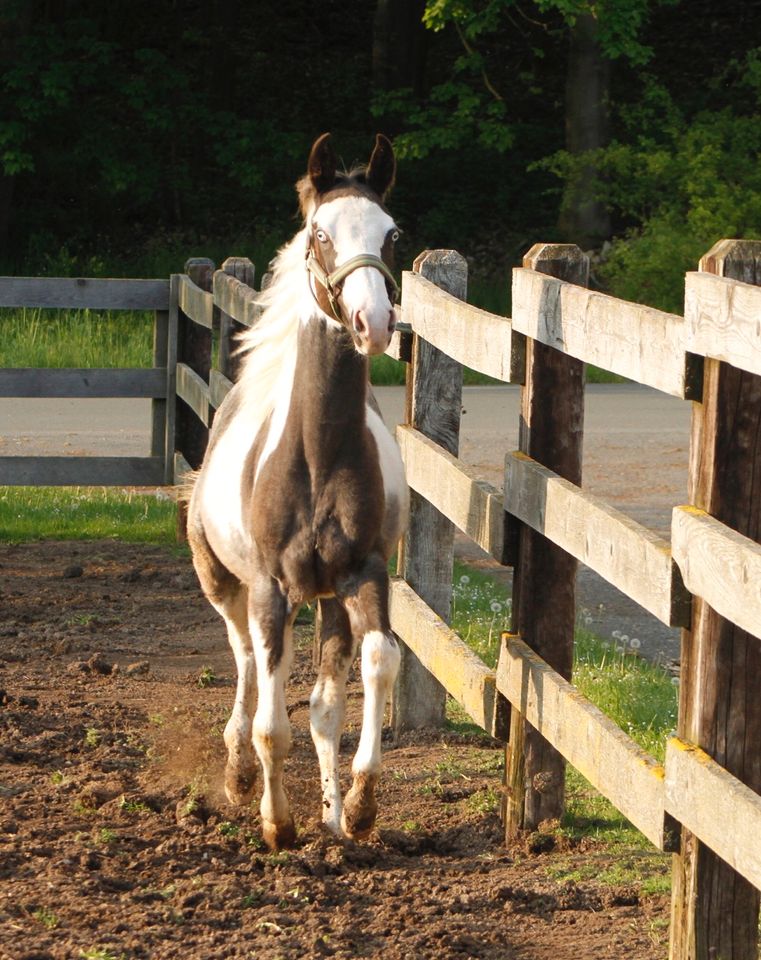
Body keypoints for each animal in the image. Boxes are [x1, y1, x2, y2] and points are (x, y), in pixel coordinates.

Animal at [185, 129, 410, 848]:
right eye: (319, 232)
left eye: (392, 233)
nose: (372, 321)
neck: (317, 455)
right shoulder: (269, 588)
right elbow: (269, 721)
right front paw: (276, 824)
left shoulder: (363, 574)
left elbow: (375, 665)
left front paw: (357, 808)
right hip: (224, 583)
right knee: (245, 665)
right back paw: (238, 776)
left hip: (327, 599)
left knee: (323, 700)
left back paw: (331, 812)